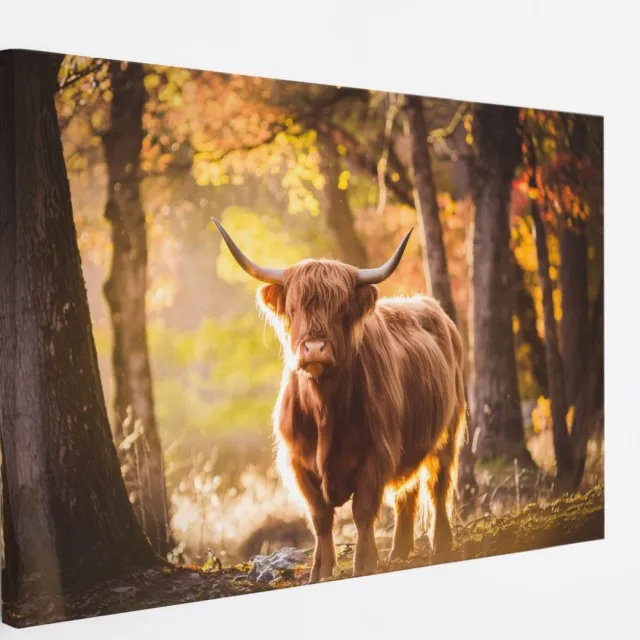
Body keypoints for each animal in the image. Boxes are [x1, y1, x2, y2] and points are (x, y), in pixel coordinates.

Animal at [213, 218, 467, 583]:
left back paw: (441, 544)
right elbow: (319, 517)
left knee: (438, 484)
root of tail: (430, 307)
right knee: (407, 493)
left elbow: (363, 512)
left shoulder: (376, 455)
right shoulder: (299, 463)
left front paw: (364, 564)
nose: (314, 349)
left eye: (341, 310)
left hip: (447, 432)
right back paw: (400, 551)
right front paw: (319, 570)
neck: (324, 411)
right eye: (293, 309)